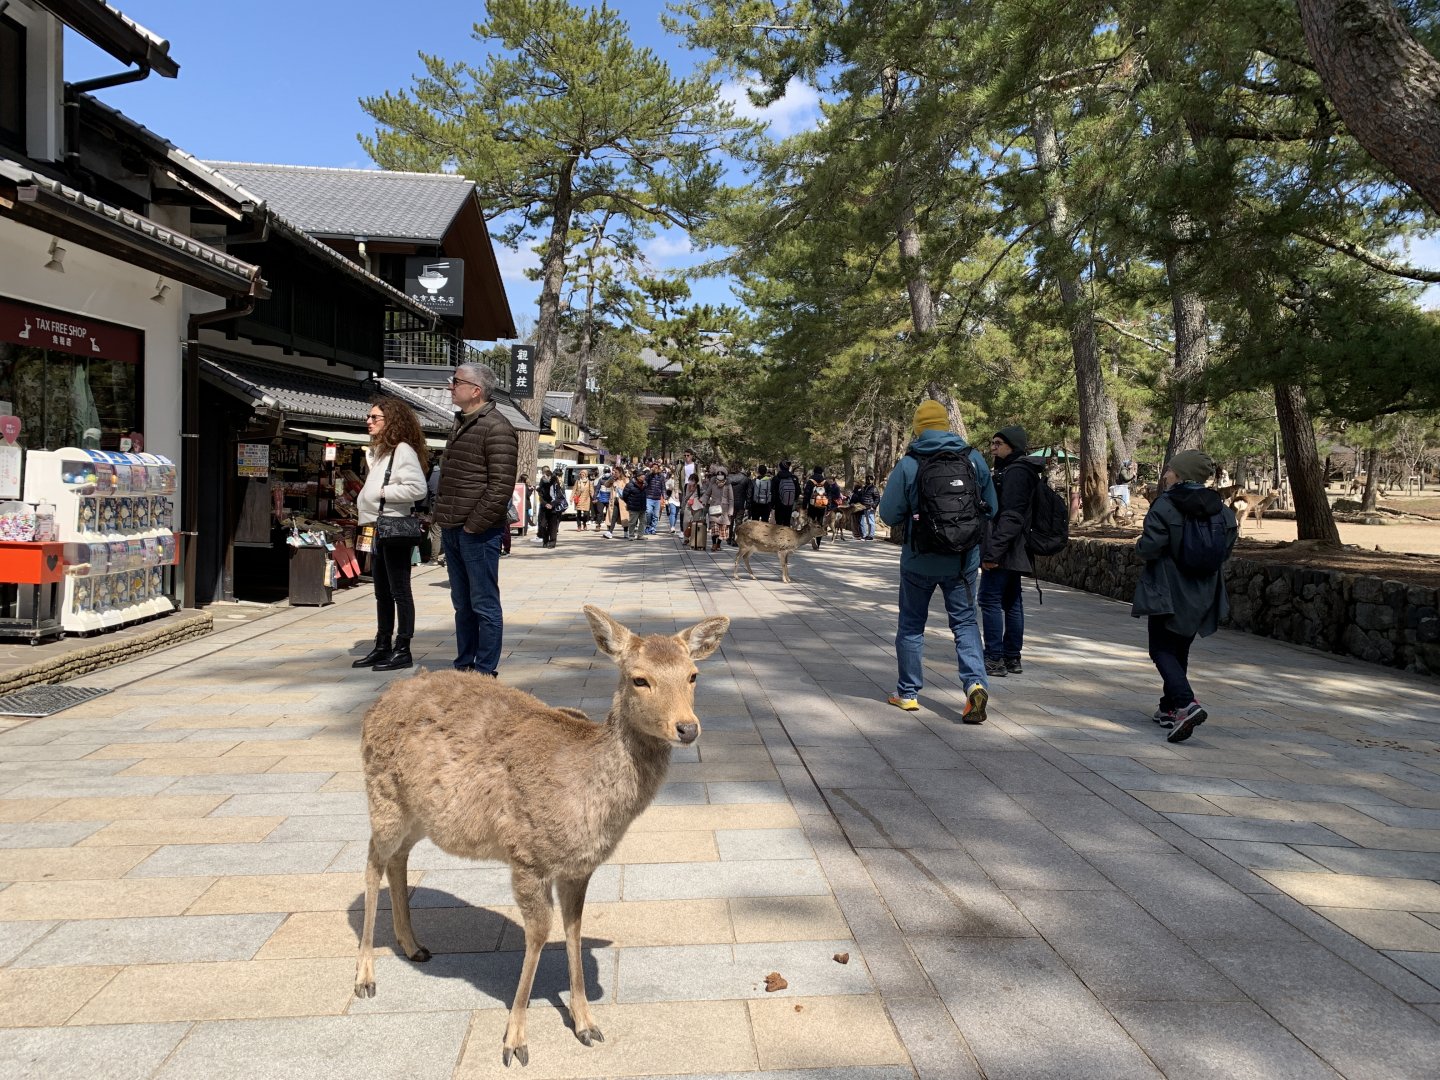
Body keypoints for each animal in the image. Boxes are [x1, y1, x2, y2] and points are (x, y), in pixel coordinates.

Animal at [352, 605, 731, 1067]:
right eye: (640, 679)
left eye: (693, 674)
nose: (687, 728)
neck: (587, 805)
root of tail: (380, 700)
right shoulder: (526, 857)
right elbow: (537, 934)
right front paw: (515, 1041)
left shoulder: (579, 868)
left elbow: (574, 928)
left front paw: (586, 1024)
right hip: (383, 795)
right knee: (372, 860)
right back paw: (365, 977)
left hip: (420, 815)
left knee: (397, 858)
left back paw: (412, 946)